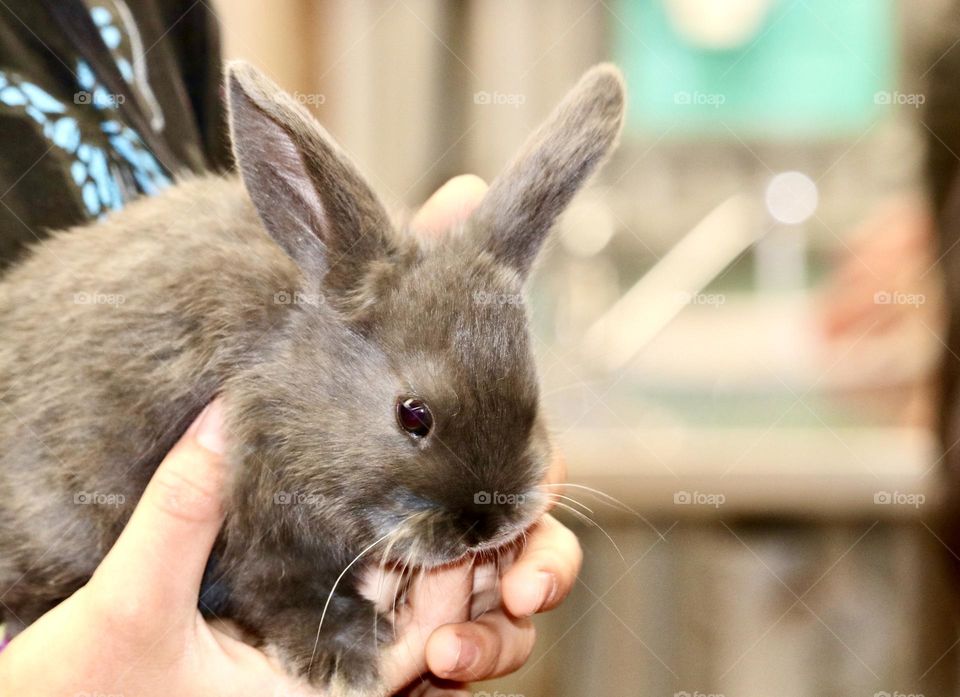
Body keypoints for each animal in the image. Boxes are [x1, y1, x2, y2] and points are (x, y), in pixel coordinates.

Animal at [0, 62, 628, 692]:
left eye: (533, 404)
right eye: (413, 415)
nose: (488, 523)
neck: (295, 385)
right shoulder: (259, 536)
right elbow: (284, 592)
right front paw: (342, 659)